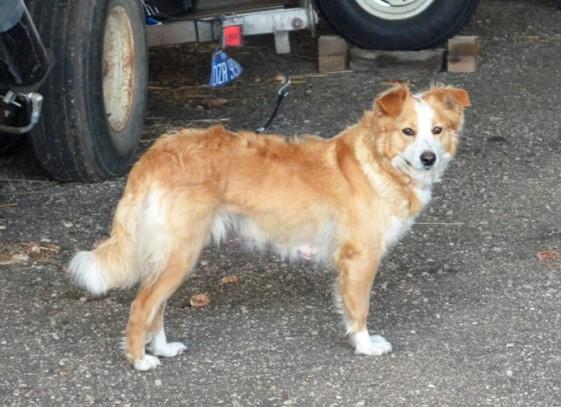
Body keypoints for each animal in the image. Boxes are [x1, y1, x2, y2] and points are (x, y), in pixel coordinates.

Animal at [68, 82, 470, 370]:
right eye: (407, 131)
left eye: (437, 130)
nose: (429, 158)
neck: (377, 161)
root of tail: (156, 153)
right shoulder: (360, 259)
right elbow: (359, 309)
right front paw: (365, 345)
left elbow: (346, 306)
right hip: (180, 255)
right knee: (142, 306)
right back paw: (140, 360)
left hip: (172, 256)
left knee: (156, 306)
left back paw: (163, 348)